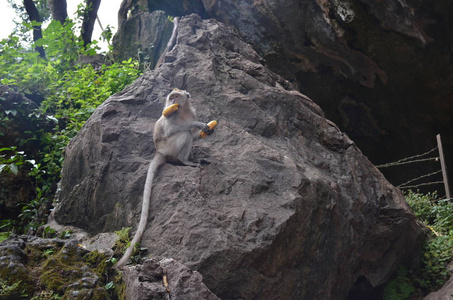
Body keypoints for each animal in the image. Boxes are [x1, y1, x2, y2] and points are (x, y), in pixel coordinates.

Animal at [115, 88, 216, 268]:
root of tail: (159, 151)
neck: (182, 111)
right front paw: (197, 125)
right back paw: (185, 161)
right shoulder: (171, 117)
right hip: (170, 147)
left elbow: (195, 135)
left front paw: (206, 131)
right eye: (171, 98)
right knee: (184, 134)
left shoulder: (192, 112)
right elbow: (175, 129)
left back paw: (194, 159)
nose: (172, 103)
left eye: (176, 97)